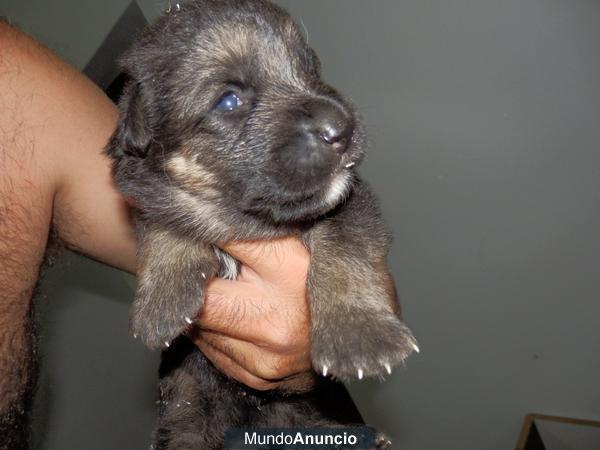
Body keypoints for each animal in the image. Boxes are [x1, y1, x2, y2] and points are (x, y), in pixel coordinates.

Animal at [105, 0, 418, 446]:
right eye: (229, 101)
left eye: (309, 66)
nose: (341, 127)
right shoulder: (146, 193)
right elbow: (165, 222)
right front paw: (160, 301)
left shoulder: (353, 201)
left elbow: (344, 250)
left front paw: (359, 333)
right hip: (188, 409)